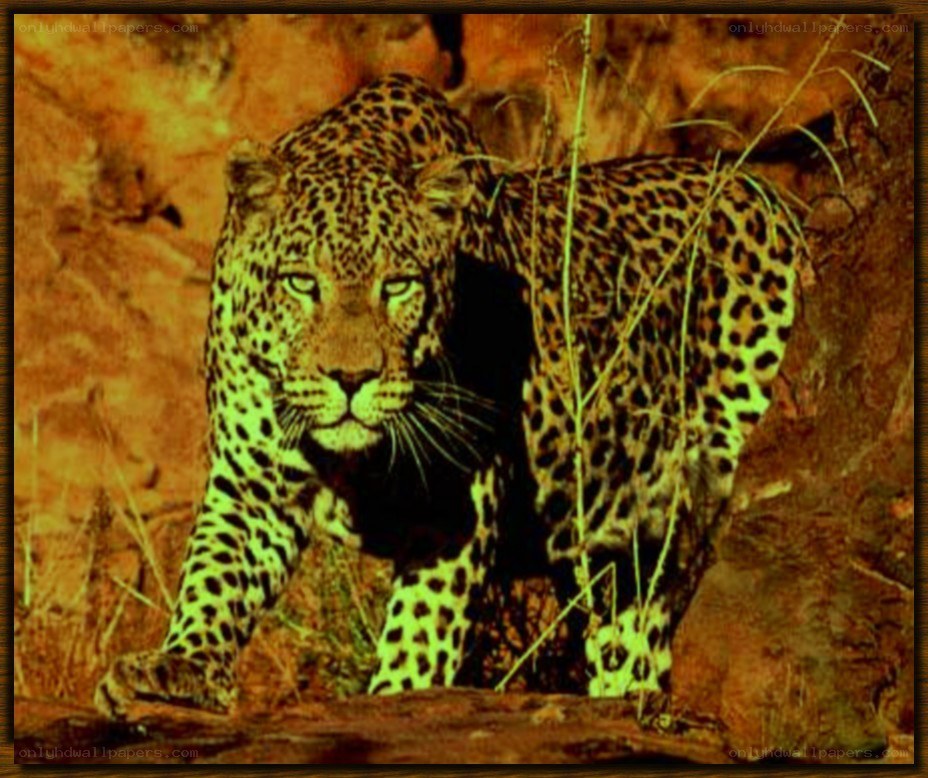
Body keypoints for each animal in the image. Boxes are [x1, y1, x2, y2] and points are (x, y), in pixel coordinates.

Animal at [95, 73, 799, 717]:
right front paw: (178, 665)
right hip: (625, 563)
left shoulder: (458, 498)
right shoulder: (253, 481)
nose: (351, 378)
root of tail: (780, 204)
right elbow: (214, 575)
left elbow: (422, 628)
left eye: (399, 286)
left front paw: (396, 699)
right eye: (301, 283)